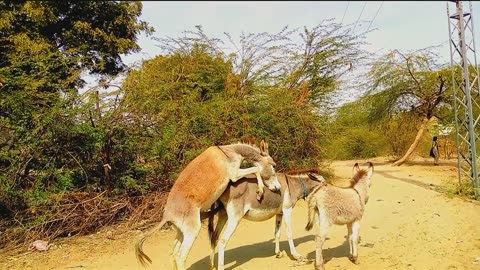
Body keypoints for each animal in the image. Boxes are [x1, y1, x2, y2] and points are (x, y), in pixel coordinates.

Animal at [133, 141, 282, 270]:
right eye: (273, 165)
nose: (278, 188)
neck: (228, 152)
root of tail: (167, 215)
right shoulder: (234, 174)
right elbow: (256, 168)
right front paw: (260, 191)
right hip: (192, 230)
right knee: (180, 256)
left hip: (181, 231)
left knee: (173, 252)